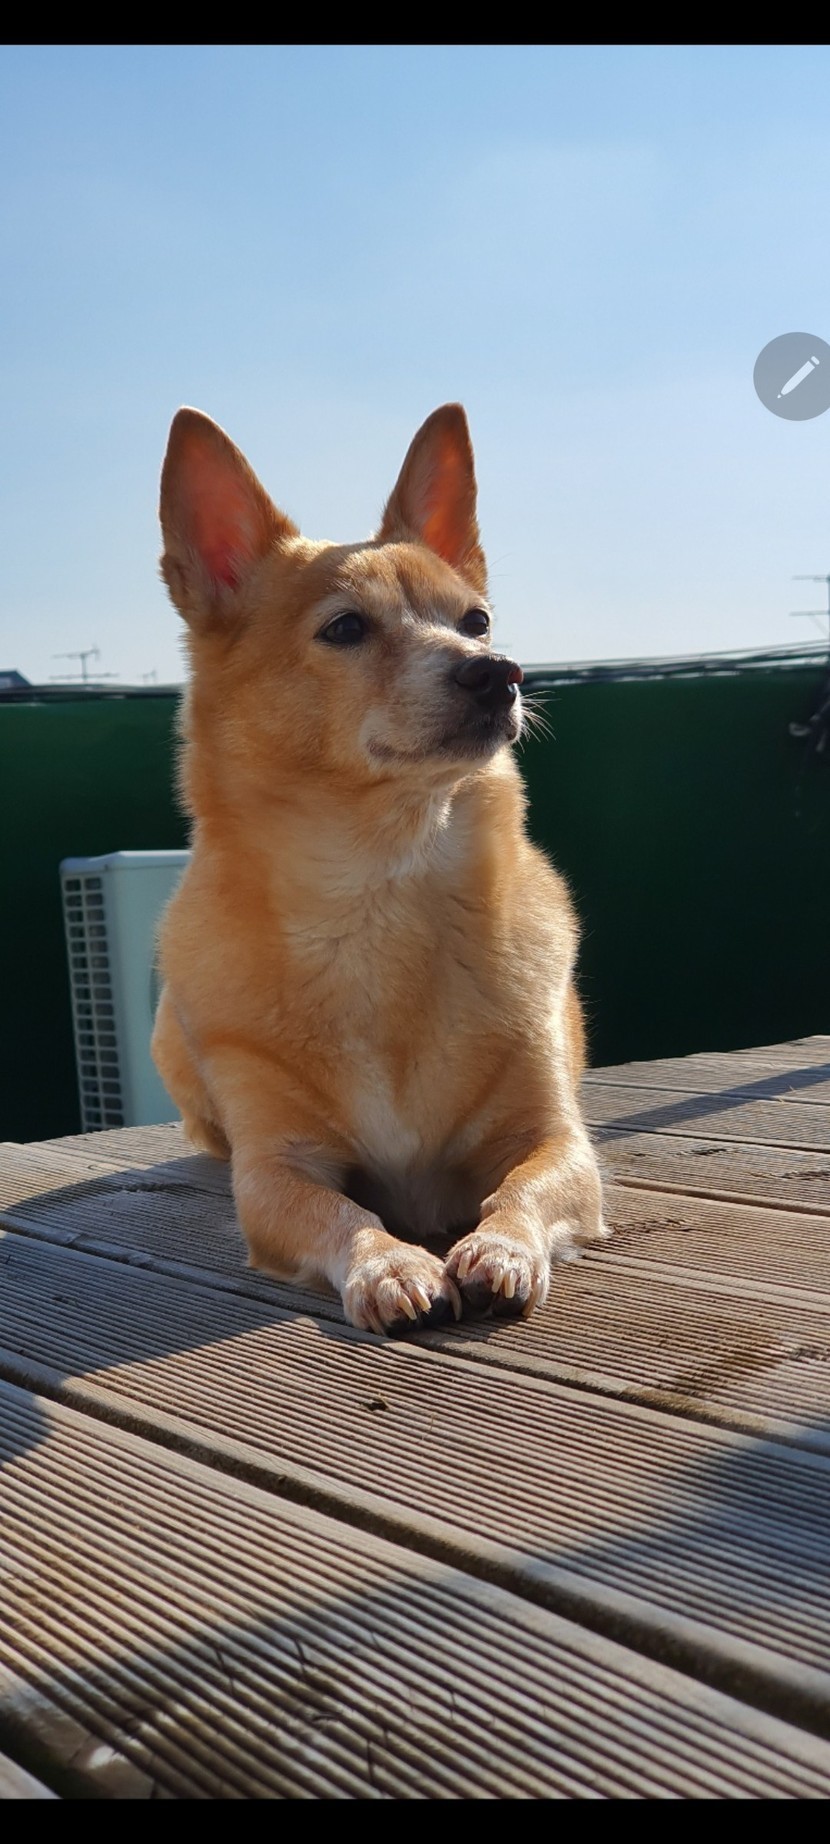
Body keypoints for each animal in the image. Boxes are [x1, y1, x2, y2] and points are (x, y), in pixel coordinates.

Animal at [152, 402, 607, 1335]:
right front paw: (389, 1262)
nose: (498, 673)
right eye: (345, 628)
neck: (382, 884)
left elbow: (524, 1189)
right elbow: (339, 1211)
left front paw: (501, 1247)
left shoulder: (562, 1143)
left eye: (476, 621)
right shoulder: (275, 1172)